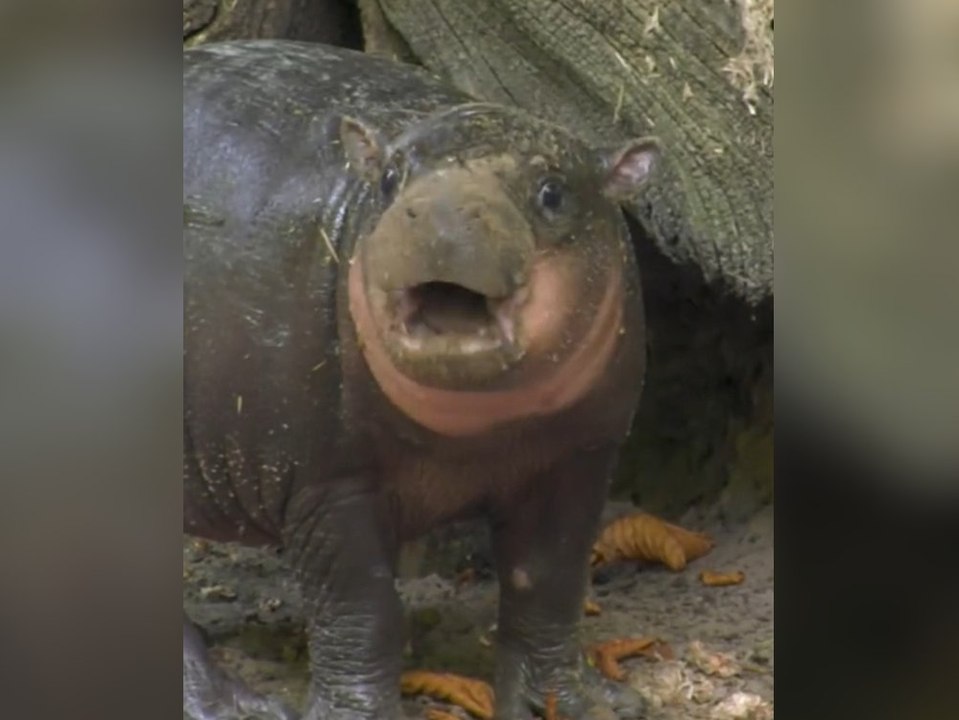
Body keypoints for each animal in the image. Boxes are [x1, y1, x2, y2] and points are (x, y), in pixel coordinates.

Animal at [183, 39, 660, 720]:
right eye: (388, 178)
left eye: (553, 190)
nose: (442, 209)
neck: (483, 427)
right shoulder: (325, 481)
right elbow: (362, 610)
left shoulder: (578, 455)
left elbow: (548, 586)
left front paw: (577, 704)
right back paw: (236, 705)